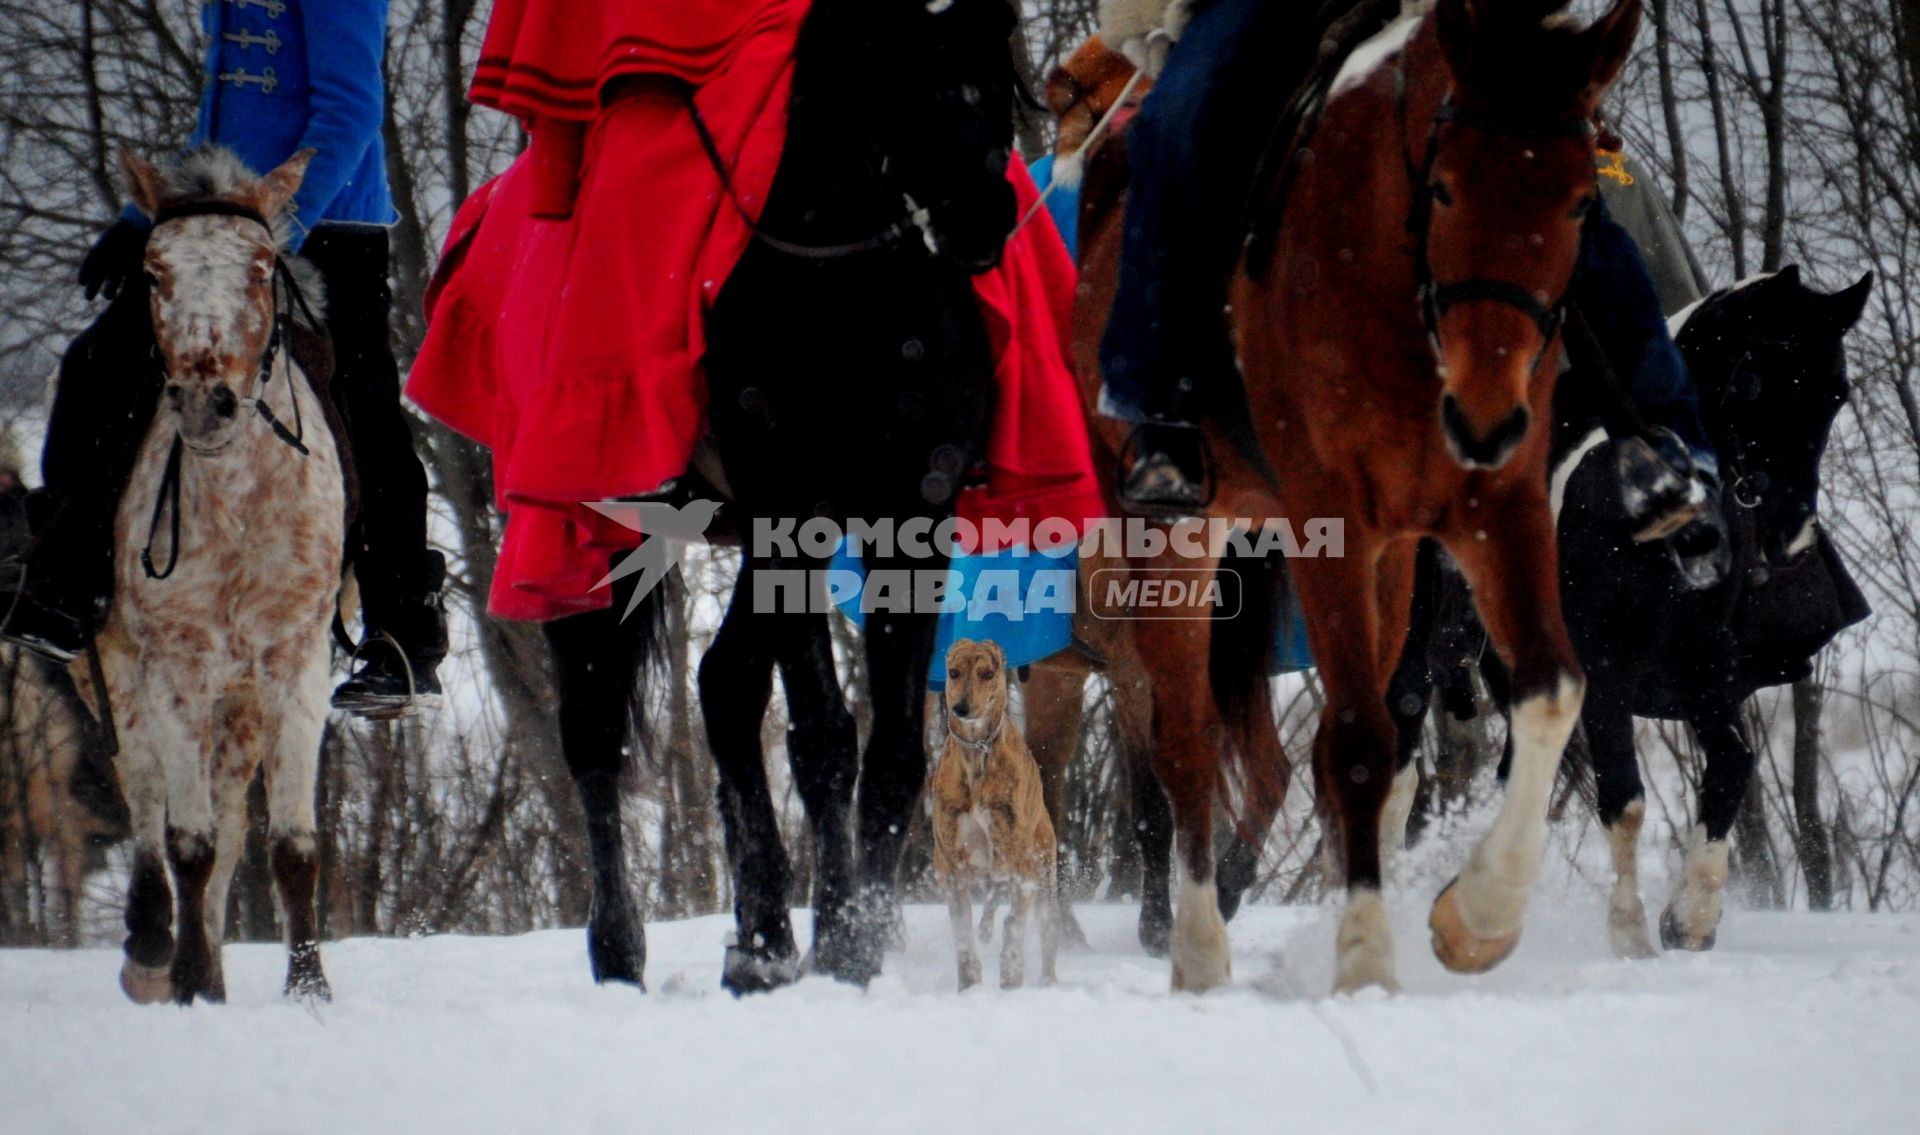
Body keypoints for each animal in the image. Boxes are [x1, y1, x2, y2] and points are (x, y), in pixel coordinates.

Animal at [86, 148, 347, 1006]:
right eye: (153, 271)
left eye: (262, 268)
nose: (206, 400)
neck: (234, 498)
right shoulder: (175, 663)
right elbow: (186, 839)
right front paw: (191, 983)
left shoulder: (293, 662)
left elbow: (289, 843)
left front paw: (309, 992)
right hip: (121, 670)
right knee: (144, 792)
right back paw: (150, 949)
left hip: (239, 704)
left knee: (233, 823)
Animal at [933, 637, 1067, 998]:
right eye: (953, 672)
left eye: (987, 673)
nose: (961, 708)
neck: (977, 752)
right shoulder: (952, 865)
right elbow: (963, 933)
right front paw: (969, 985)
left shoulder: (1024, 869)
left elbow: (1014, 926)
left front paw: (1011, 978)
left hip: (1044, 869)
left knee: (1047, 927)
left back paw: (1047, 981)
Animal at [1075, 0, 1643, 998]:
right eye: (1445, 190)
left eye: (1581, 201)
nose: (1486, 415)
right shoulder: (1330, 518)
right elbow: (1356, 740)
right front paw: (1368, 960)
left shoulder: (1497, 509)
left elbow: (1549, 690)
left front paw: (1476, 918)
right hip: (1173, 532)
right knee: (1187, 746)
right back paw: (1198, 954)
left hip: (1391, 563)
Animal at [1397, 268, 1873, 960]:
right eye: (1753, 380)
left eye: (1837, 393)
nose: (1789, 534)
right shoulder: (1603, 680)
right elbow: (1624, 799)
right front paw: (1631, 935)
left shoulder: (1707, 681)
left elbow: (1732, 768)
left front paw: (1691, 919)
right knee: (1399, 764)